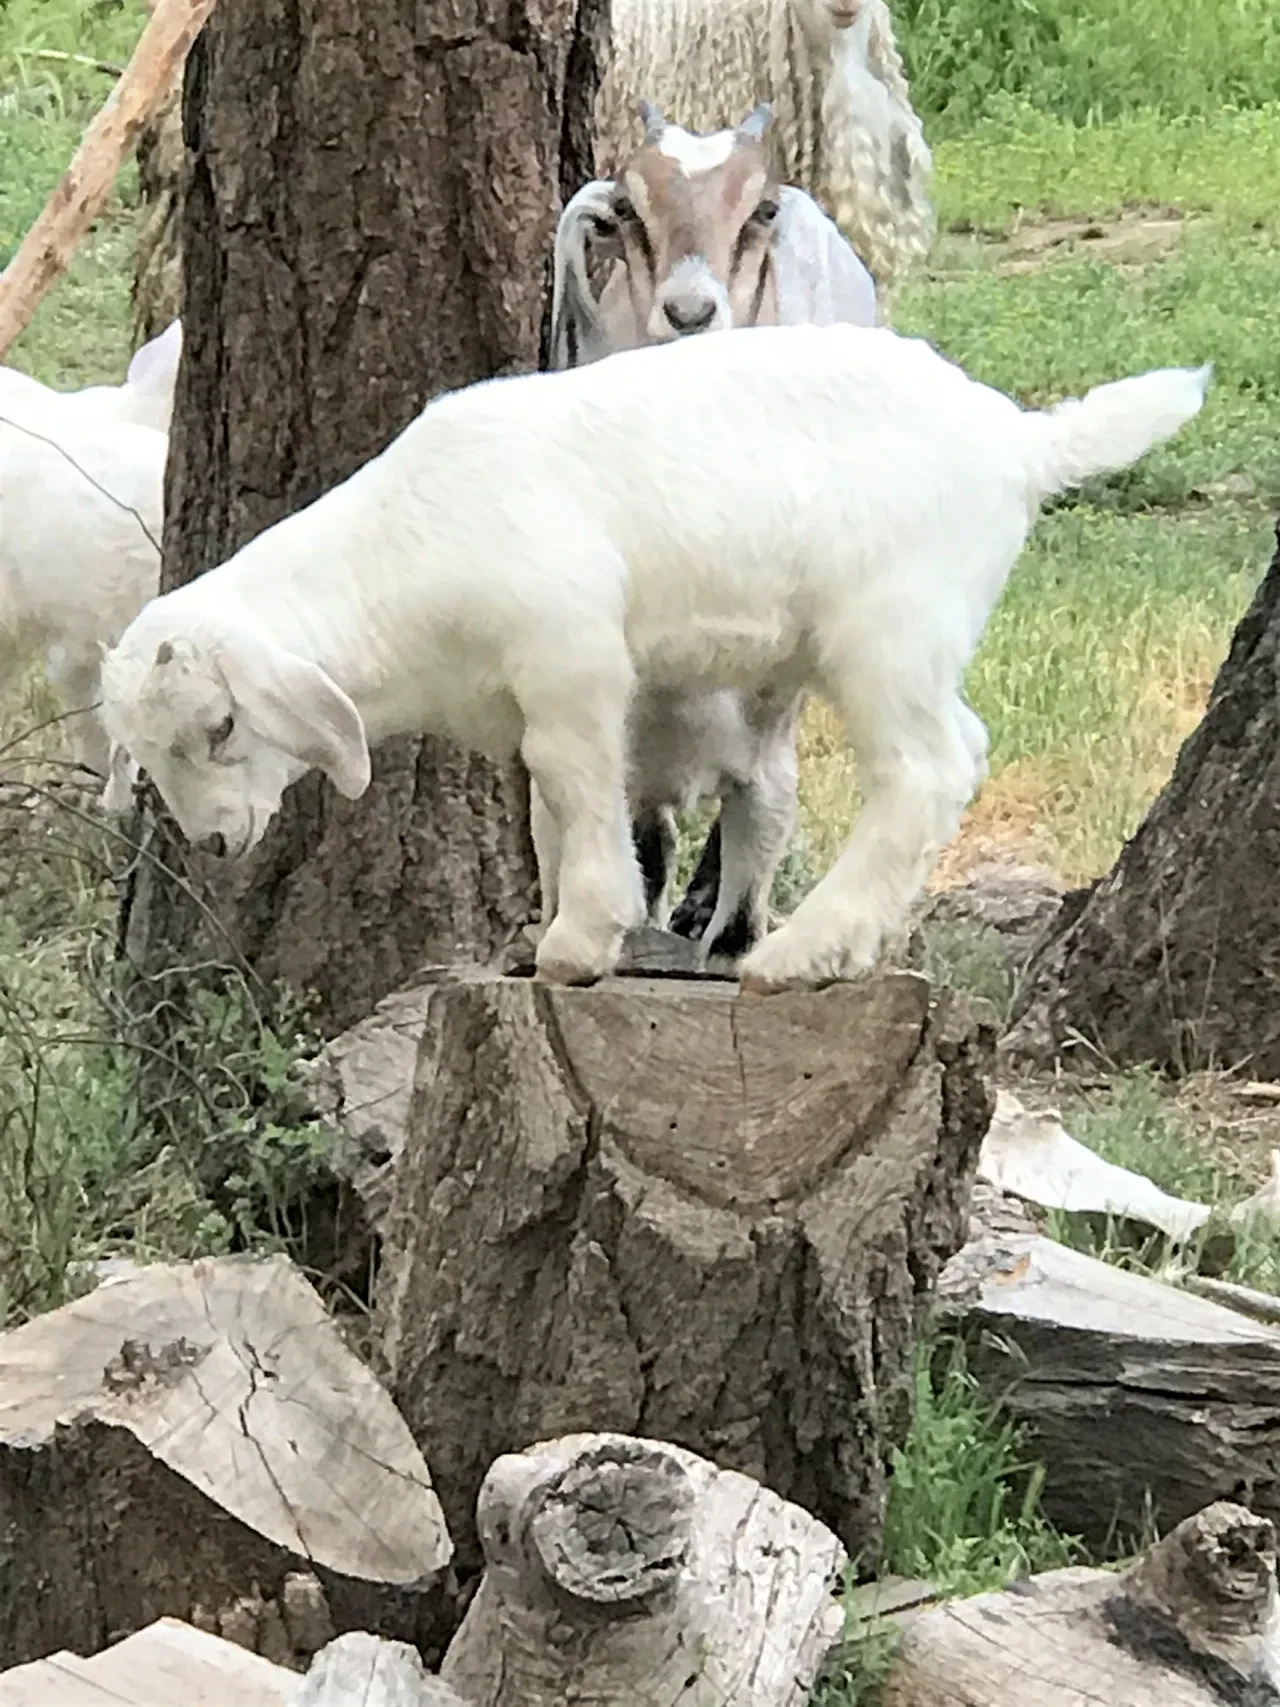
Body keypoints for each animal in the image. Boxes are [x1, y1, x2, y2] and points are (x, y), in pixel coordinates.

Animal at [97, 324, 1209, 994]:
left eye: (222, 723)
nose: (215, 843)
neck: (401, 558)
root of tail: (1020, 442)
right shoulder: (523, 696)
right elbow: (544, 811)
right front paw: (540, 932)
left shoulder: (572, 657)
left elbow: (580, 786)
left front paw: (579, 940)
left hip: (892, 621)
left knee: (931, 768)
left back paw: (800, 953)